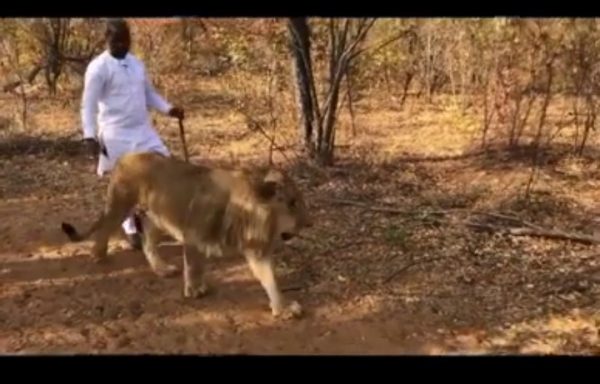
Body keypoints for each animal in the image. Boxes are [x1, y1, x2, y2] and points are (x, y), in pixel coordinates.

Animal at [60, 152, 312, 320]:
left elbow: (270, 280)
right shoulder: (192, 235)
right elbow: (193, 265)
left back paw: (162, 269)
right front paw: (193, 290)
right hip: (120, 204)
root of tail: (128, 155)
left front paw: (282, 309)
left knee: (148, 241)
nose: (309, 223)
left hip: (157, 217)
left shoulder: (255, 250)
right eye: (293, 203)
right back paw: (98, 254)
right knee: (105, 228)